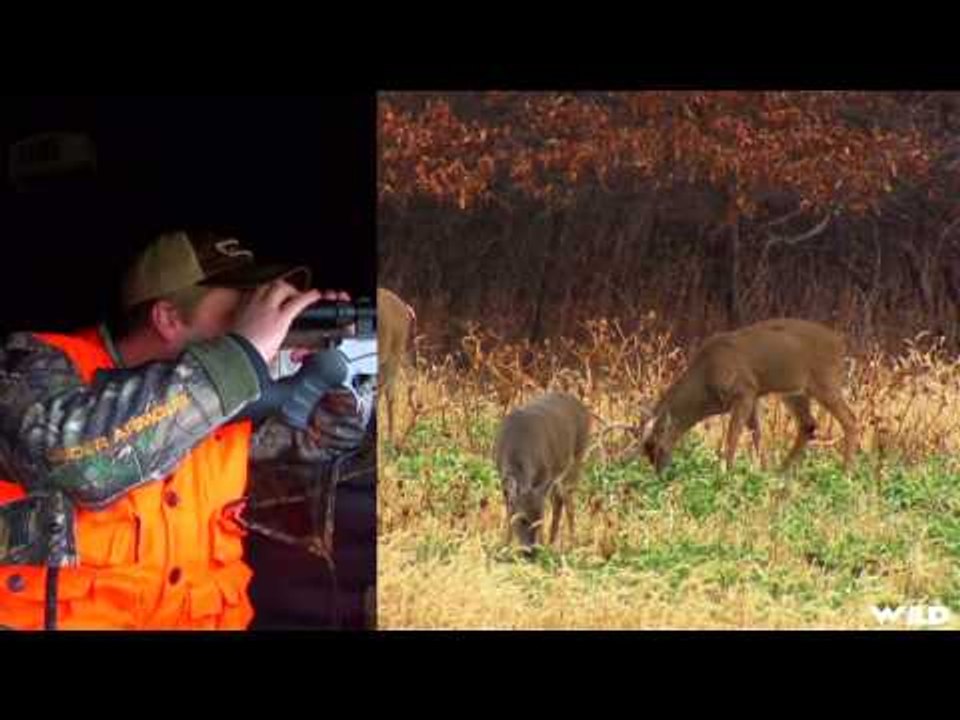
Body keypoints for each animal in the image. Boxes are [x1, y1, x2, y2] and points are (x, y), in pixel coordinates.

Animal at [494, 391, 592, 552]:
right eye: (522, 519)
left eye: (540, 519)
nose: (531, 551)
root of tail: (582, 406)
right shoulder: (502, 479)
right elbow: (509, 511)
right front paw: (504, 545)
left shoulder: (546, 474)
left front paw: (543, 544)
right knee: (558, 500)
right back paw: (553, 540)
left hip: (578, 456)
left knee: (568, 501)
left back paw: (571, 543)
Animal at [639, 318, 858, 475]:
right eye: (646, 451)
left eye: (656, 446)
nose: (659, 475)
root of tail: (841, 343)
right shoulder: (753, 396)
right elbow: (757, 434)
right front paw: (763, 470)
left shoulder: (744, 390)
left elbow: (733, 435)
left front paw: (727, 472)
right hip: (794, 391)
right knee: (808, 425)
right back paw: (781, 471)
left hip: (825, 381)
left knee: (849, 419)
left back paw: (846, 471)